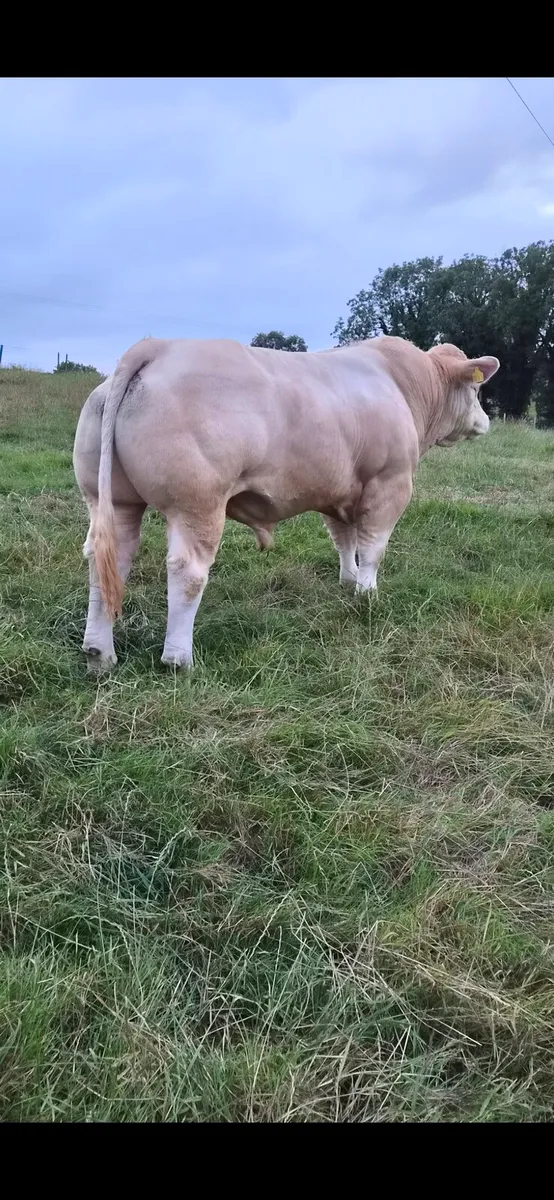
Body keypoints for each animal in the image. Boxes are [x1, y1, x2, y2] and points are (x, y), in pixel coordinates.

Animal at [72, 335, 499, 672]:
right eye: (475, 391)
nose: (486, 421)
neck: (406, 385)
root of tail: (158, 347)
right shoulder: (389, 484)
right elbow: (373, 547)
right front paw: (367, 594)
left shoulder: (339, 490)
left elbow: (344, 539)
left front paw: (348, 582)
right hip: (197, 503)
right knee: (187, 571)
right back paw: (179, 659)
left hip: (113, 500)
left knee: (107, 560)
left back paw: (99, 653)